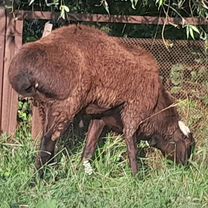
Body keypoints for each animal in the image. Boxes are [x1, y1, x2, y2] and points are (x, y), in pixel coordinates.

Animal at [7, 24, 194, 176]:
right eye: (188, 144)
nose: (185, 168)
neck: (156, 105)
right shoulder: (133, 114)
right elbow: (132, 148)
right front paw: (137, 178)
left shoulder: (100, 118)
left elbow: (89, 147)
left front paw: (84, 172)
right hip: (65, 105)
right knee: (48, 141)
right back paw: (39, 179)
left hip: (43, 107)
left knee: (45, 141)